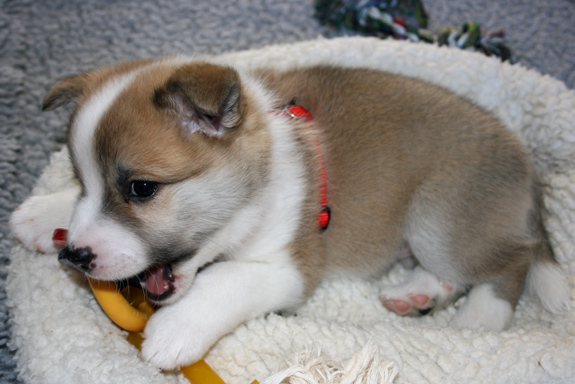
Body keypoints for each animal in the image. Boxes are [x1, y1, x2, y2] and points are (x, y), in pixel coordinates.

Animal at [10, 58, 572, 370]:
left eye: (141, 188)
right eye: (85, 181)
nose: (75, 255)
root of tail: (525, 165)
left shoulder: (288, 269)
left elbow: (223, 281)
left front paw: (174, 332)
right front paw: (42, 213)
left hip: (437, 219)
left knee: (512, 261)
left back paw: (480, 318)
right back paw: (414, 293)